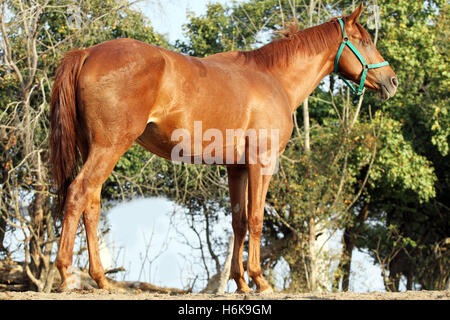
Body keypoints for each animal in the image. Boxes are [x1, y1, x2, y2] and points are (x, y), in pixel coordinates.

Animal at [50, 3, 398, 292]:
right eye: (364, 40)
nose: (392, 81)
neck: (274, 79)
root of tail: (87, 53)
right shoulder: (261, 162)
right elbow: (256, 220)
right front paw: (259, 280)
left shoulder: (237, 168)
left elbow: (239, 222)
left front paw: (241, 282)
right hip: (109, 146)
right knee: (79, 192)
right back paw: (67, 275)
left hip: (93, 148)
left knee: (92, 202)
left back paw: (100, 279)